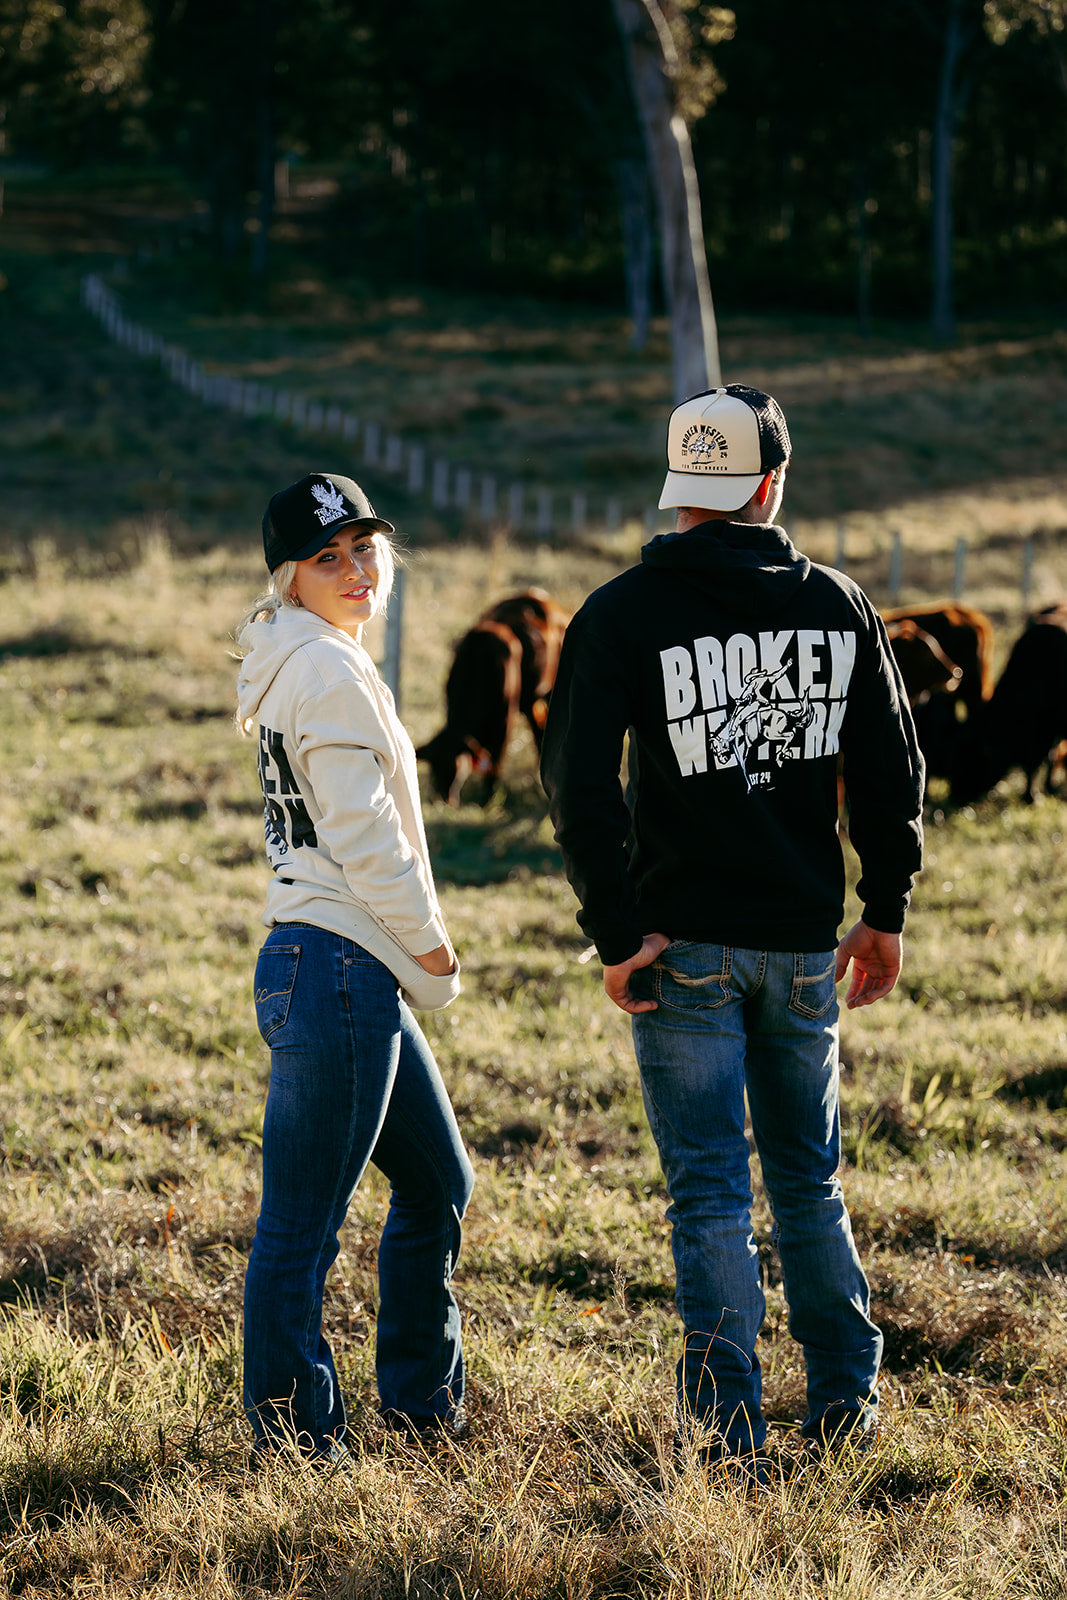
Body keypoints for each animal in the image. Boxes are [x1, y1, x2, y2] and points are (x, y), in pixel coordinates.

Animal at [415, 592, 566, 806]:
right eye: (433, 766)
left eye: (456, 765)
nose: (443, 799)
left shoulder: (505, 721)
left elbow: (495, 762)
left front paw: (488, 800)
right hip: (531, 701)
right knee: (539, 730)